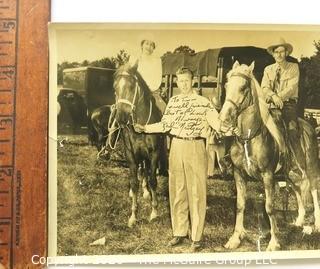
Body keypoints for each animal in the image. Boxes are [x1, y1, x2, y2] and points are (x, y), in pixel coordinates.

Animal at [112, 63, 162, 225]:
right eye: (114, 87)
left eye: (132, 86)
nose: (121, 117)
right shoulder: (131, 155)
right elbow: (134, 182)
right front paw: (133, 216)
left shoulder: (154, 154)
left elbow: (153, 180)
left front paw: (154, 211)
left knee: (146, 172)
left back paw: (146, 192)